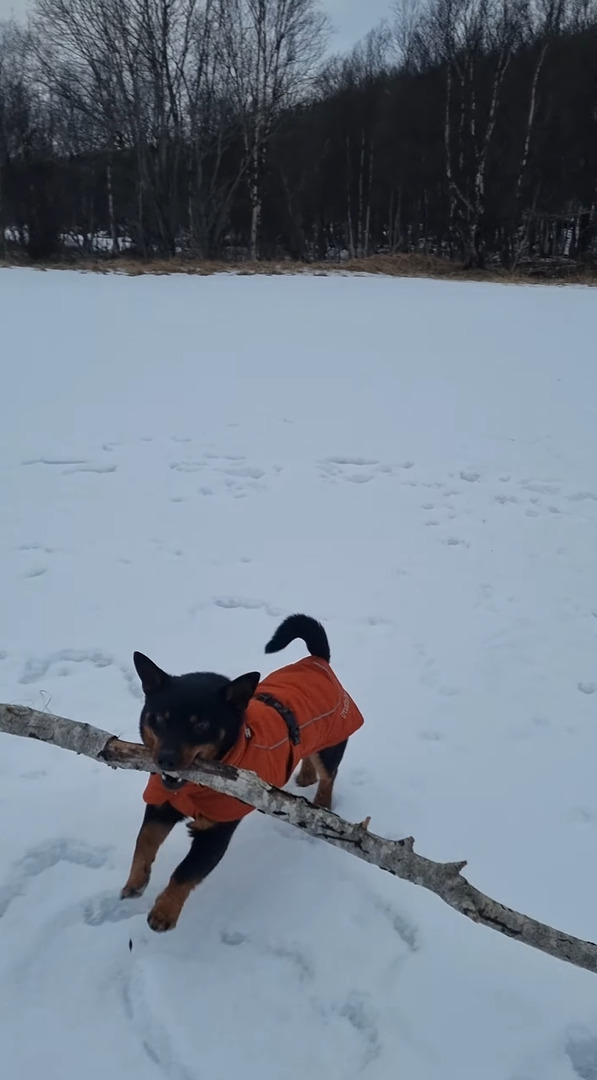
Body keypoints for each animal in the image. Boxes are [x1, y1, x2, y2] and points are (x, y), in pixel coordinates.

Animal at [120, 613, 362, 933]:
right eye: (159, 718)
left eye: (201, 725)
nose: (165, 760)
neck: (193, 787)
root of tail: (318, 659)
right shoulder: (161, 804)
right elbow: (143, 842)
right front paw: (135, 882)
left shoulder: (217, 832)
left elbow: (185, 872)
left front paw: (164, 912)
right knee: (308, 753)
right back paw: (305, 776)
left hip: (332, 743)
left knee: (329, 774)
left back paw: (321, 804)